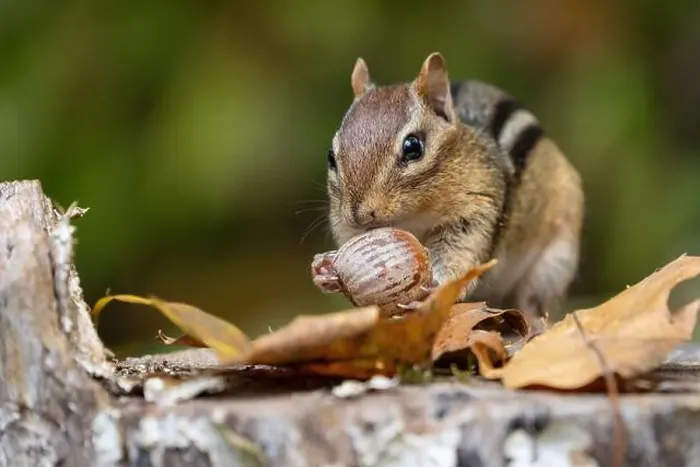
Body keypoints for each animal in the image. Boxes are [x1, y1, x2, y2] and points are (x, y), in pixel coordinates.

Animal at [323, 52, 584, 329]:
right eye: (331, 156)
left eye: (413, 147)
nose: (360, 215)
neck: (415, 217)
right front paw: (326, 269)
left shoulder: (477, 208)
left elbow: (459, 254)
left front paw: (436, 288)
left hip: (554, 263)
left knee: (534, 301)